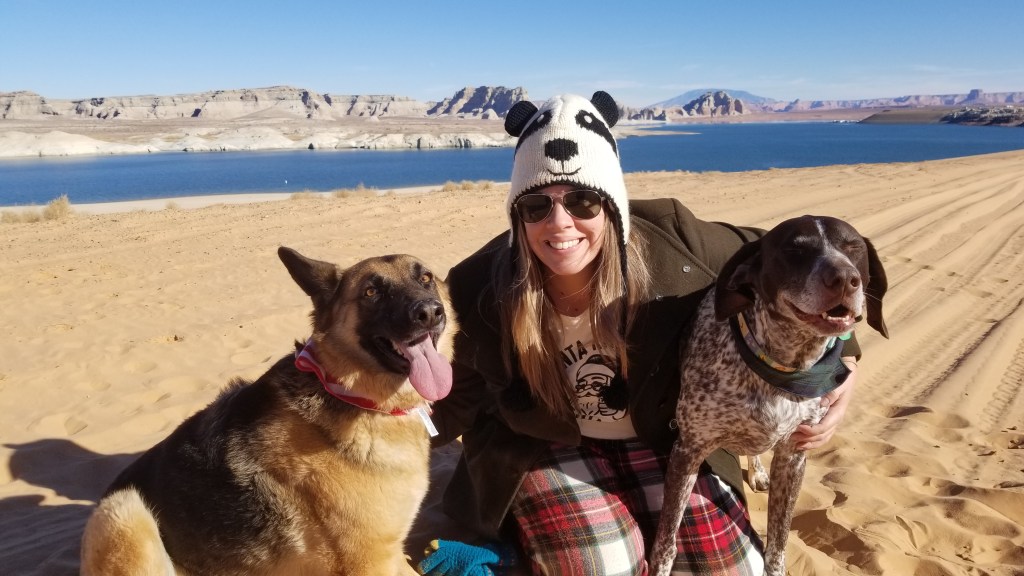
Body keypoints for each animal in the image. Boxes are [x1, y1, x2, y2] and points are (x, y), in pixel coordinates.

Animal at [80, 247, 457, 576]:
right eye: (371, 292)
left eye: (425, 278)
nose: (429, 313)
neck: (348, 393)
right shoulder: (370, 562)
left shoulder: (392, 553)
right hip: (124, 510)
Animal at [649, 215, 888, 576]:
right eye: (794, 249)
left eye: (854, 247)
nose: (845, 279)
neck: (781, 367)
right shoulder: (688, 451)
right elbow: (667, 540)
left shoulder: (793, 457)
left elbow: (778, 544)